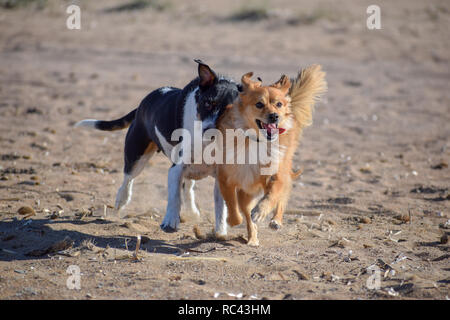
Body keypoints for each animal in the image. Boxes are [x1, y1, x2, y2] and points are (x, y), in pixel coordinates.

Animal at [76, 60, 239, 235]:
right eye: (208, 103)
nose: (208, 131)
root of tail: (142, 105)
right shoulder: (175, 169)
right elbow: (174, 197)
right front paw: (170, 221)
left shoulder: (222, 175)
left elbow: (220, 207)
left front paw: (220, 232)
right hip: (137, 155)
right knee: (128, 177)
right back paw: (121, 200)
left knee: (188, 186)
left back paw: (192, 211)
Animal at [215, 65, 326, 245]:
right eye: (259, 104)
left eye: (279, 104)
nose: (274, 116)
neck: (256, 140)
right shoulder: (226, 178)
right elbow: (232, 205)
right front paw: (234, 220)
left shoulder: (275, 175)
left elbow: (272, 195)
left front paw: (261, 211)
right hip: (247, 192)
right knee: (245, 211)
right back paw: (252, 237)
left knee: (281, 198)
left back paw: (276, 220)